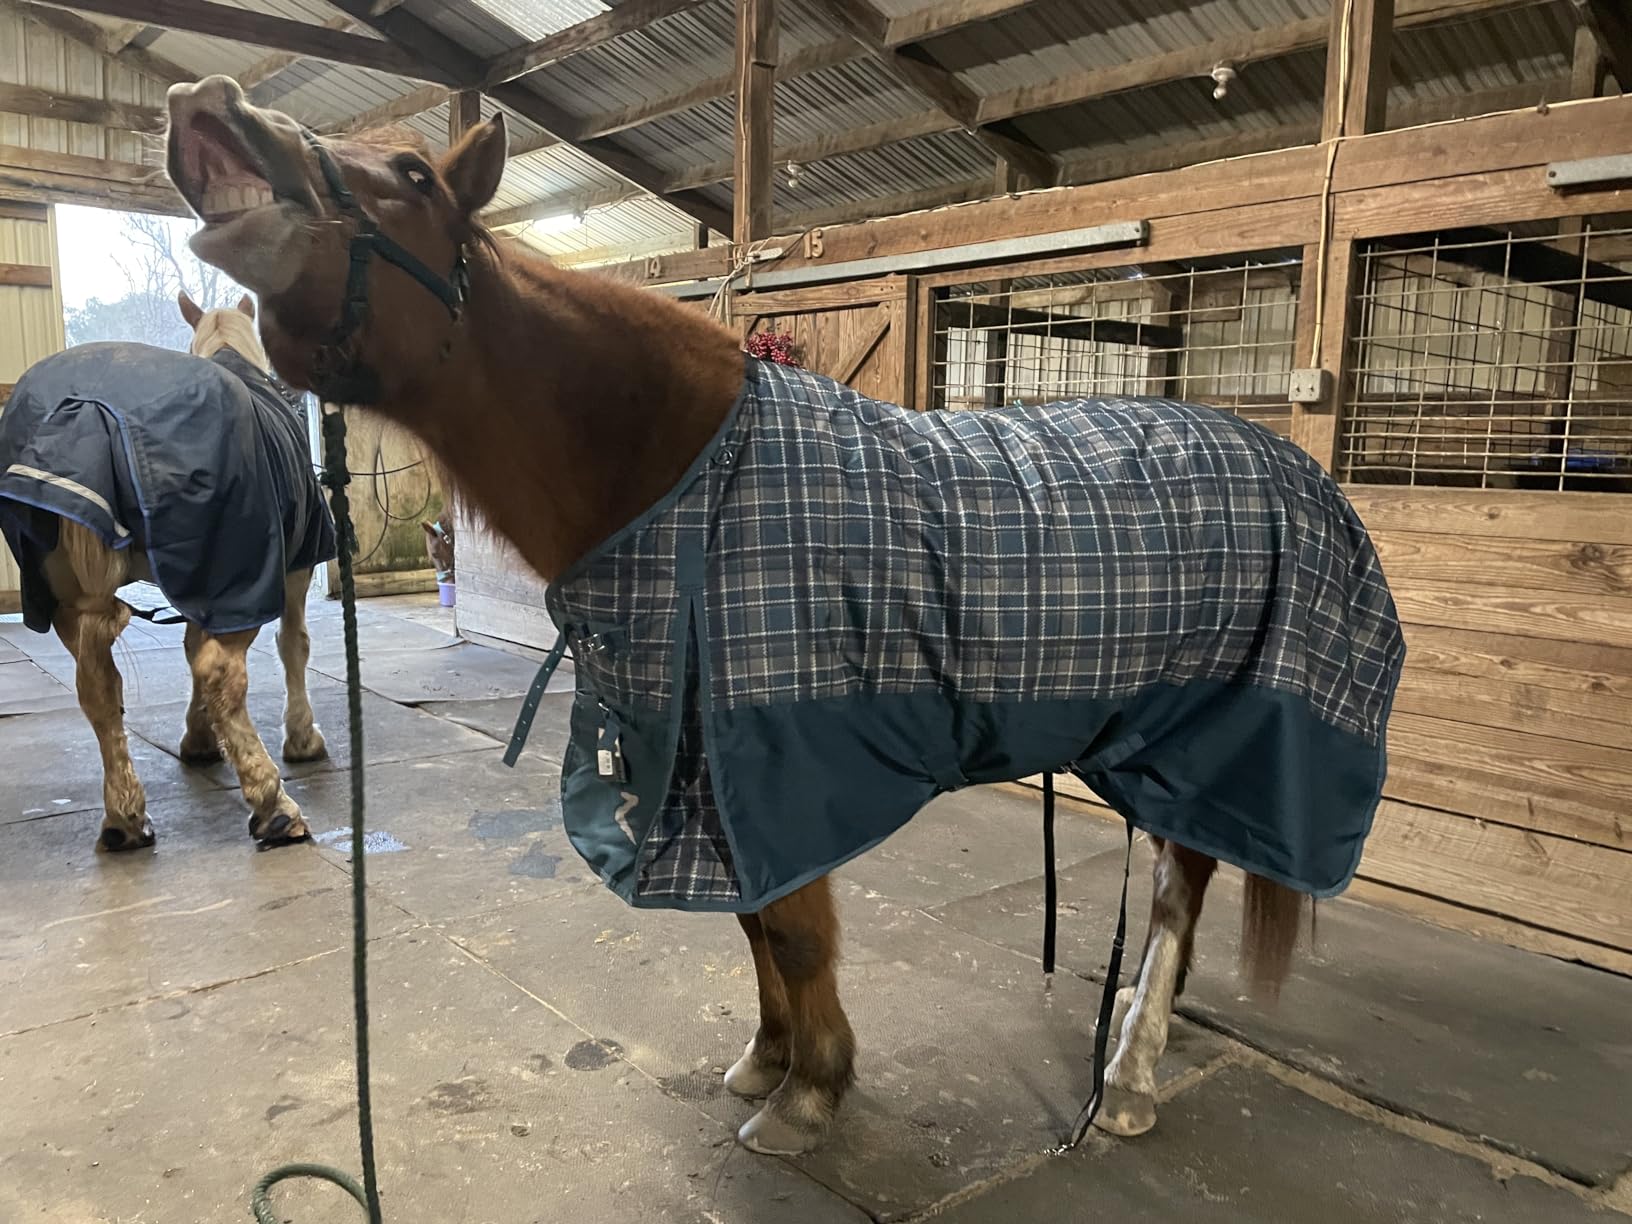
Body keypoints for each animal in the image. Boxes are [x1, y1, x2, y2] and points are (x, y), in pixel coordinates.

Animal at [0, 292, 335, 851]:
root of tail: (85, 410)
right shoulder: (290, 571)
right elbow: (292, 645)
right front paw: (303, 738)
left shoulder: (199, 584)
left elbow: (191, 646)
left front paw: (199, 740)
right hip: (237, 574)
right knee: (221, 671)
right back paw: (274, 806)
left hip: (69, 599)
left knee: (99, 688)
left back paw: (124, 818)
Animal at [160, 75, 1404, 1156]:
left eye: (413, 173)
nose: (211, 110)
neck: (682, 472)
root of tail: (1291, 464)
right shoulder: (707, 760)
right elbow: (755, 920)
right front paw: (769, 1060)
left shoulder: (776, 748)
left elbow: (796, 925)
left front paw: (812, 1094)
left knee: (1180, 887)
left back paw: (1134, 1076)